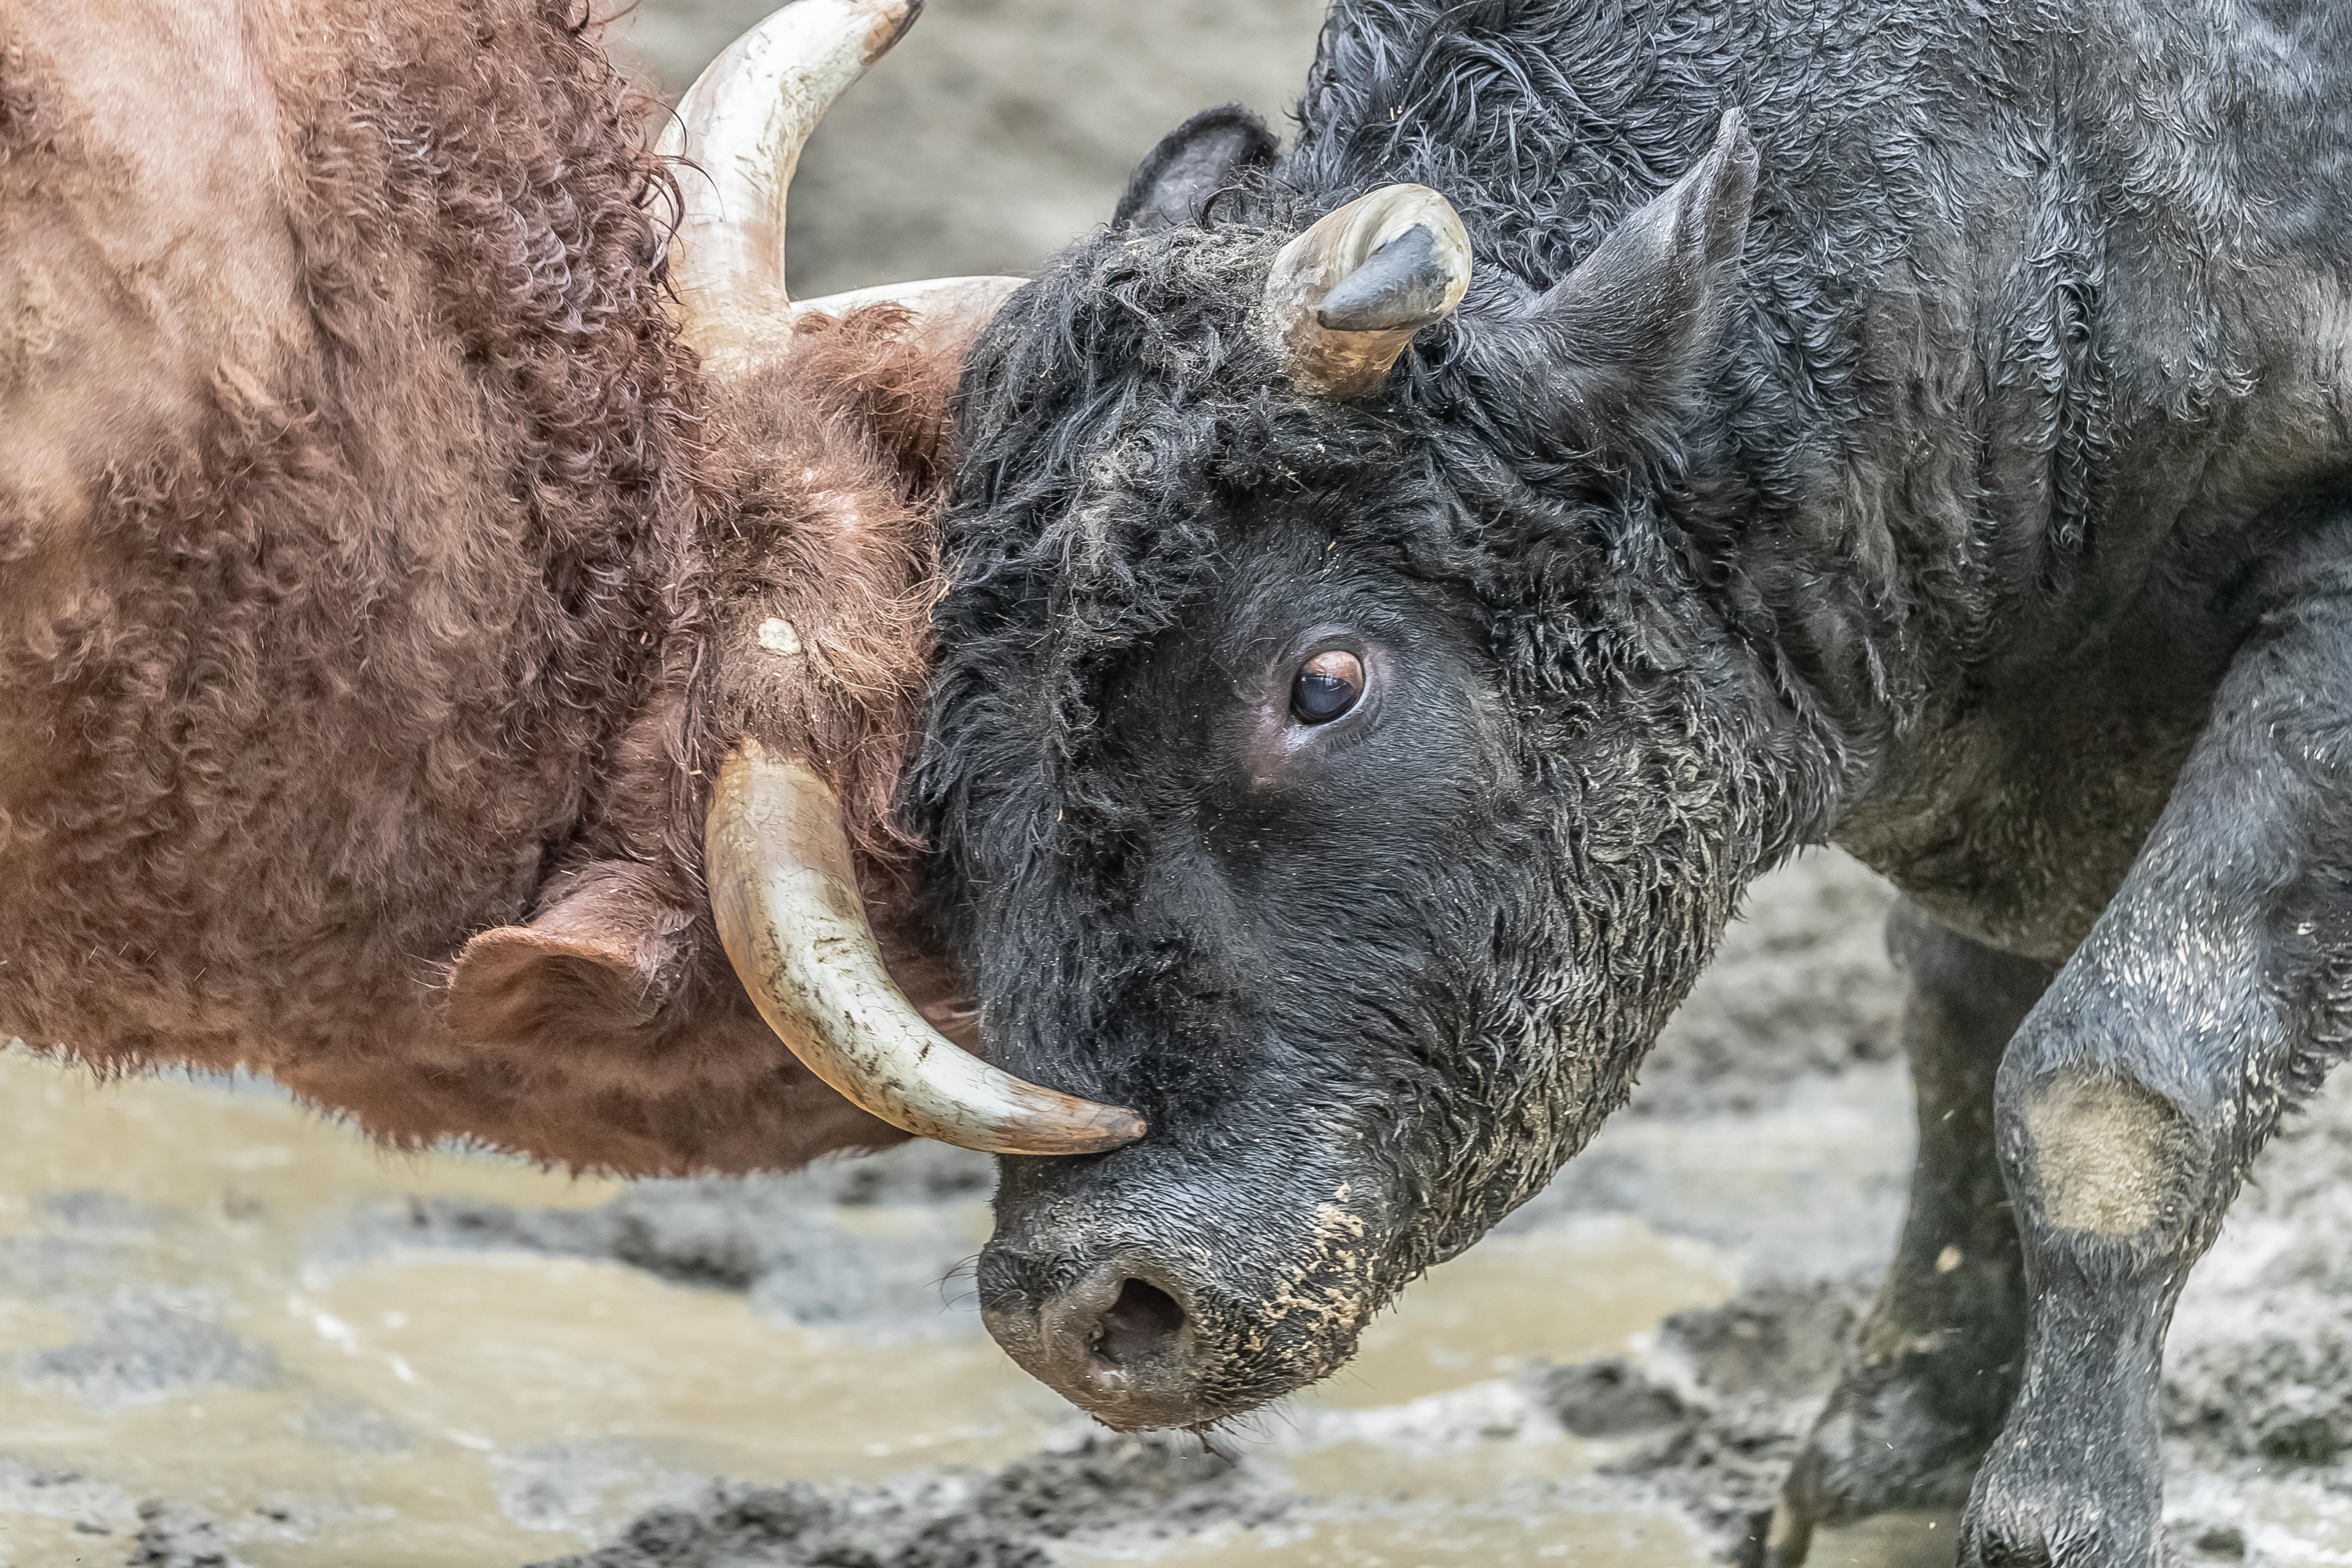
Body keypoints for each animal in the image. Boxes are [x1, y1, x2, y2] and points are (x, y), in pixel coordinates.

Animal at [888, 1, 2352, 1562]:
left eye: (1324, 680)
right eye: (947, 739)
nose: (1076, 1300)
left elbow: (2108, 1081)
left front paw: (2049, 1513)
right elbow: (1960, 1052)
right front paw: (1880, 1480)